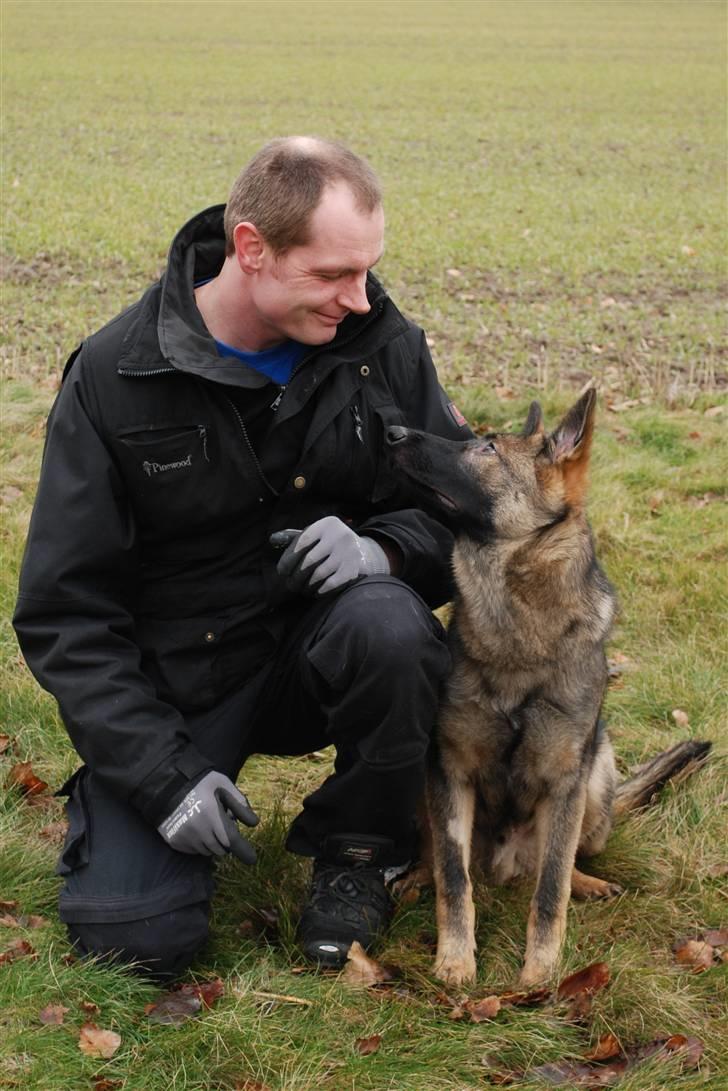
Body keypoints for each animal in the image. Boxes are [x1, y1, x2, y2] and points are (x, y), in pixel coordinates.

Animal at [386, 392, 711, 990]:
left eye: (487, 448)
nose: (392, 431)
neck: (517, 637)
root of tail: (504, 866)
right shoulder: (451, 771)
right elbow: (454, 876)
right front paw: (455, 959)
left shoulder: (565, 784)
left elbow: (551, 886)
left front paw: (540, 972)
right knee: (441, 857)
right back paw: (419, 875)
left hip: (596, 781)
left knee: (557, 862)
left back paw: (588, 881)